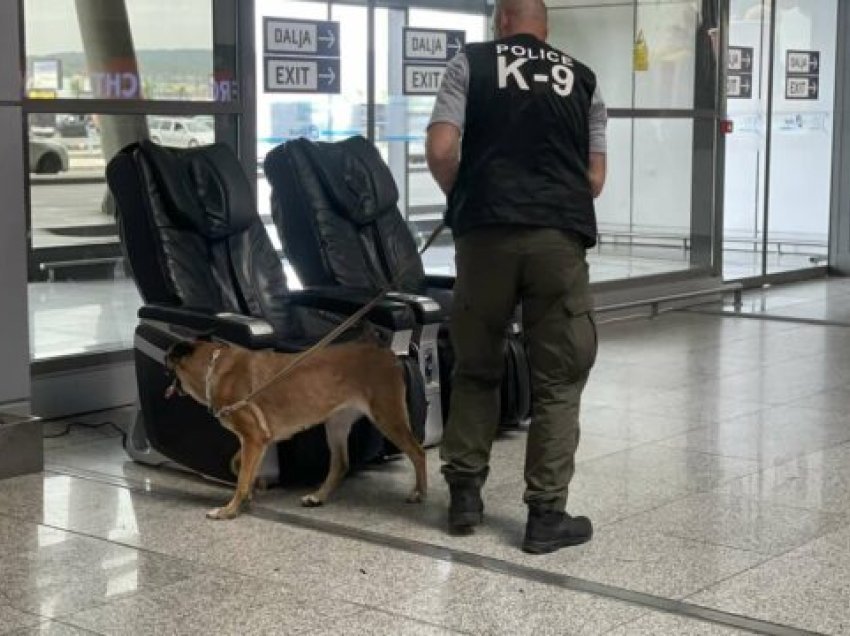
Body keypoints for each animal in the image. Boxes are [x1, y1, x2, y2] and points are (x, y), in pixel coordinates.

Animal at [165, 340, 428, 520]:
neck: (213, 369)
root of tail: (389, 354)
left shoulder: (253, 439)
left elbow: (241, 480)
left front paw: (229, 511)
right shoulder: (258, 441)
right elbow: (239, 466)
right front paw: (249, 493)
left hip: (388, 418)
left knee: (418, 453)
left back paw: (420, 493)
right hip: (336, 424)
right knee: (341, 464)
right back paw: (318, 497)